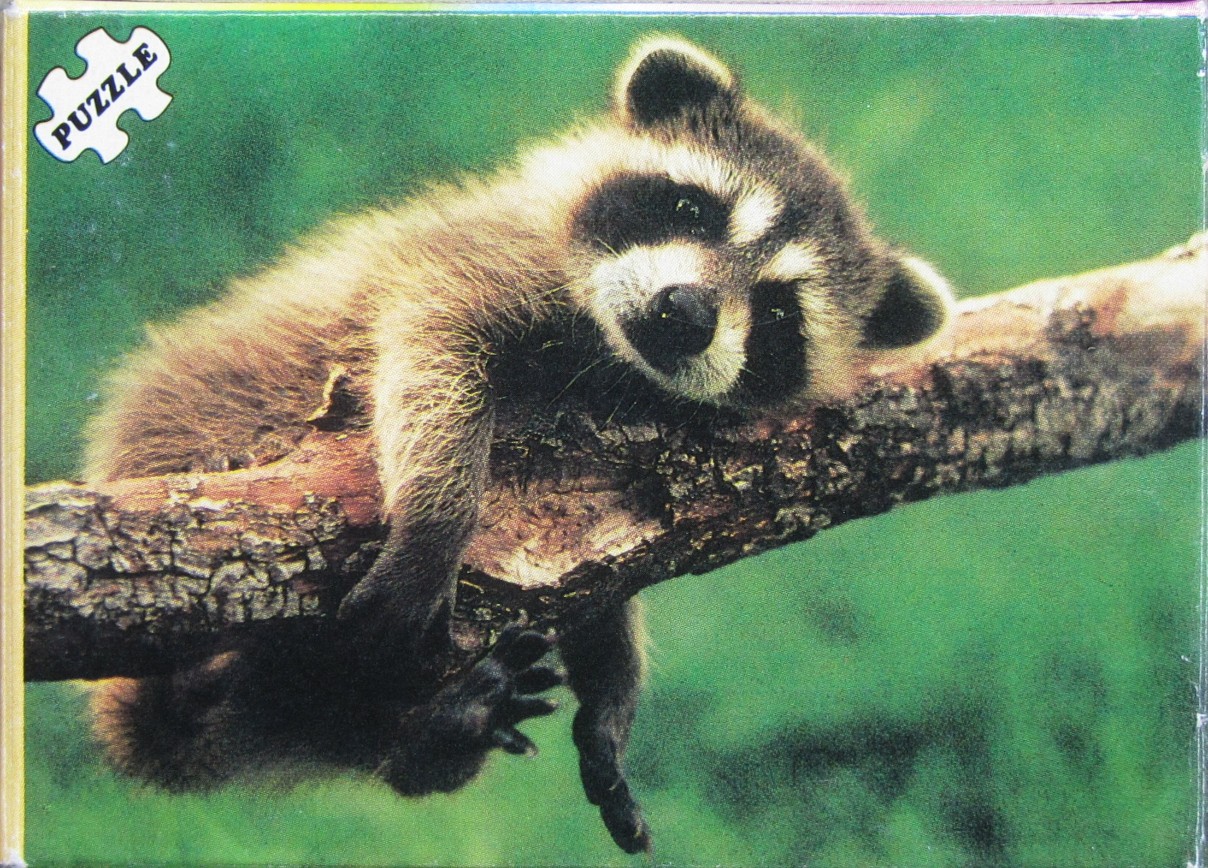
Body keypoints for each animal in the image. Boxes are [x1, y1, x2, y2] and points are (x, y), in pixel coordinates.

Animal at [84, 37, 952, 854]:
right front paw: (435, 525)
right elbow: (431, 346)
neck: (610, 357)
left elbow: (608, 566)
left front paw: (613, 689)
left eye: (777, 314)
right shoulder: (480, 258)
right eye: (691, 207)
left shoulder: (618, 475)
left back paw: (428, 735)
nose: (685, 313)